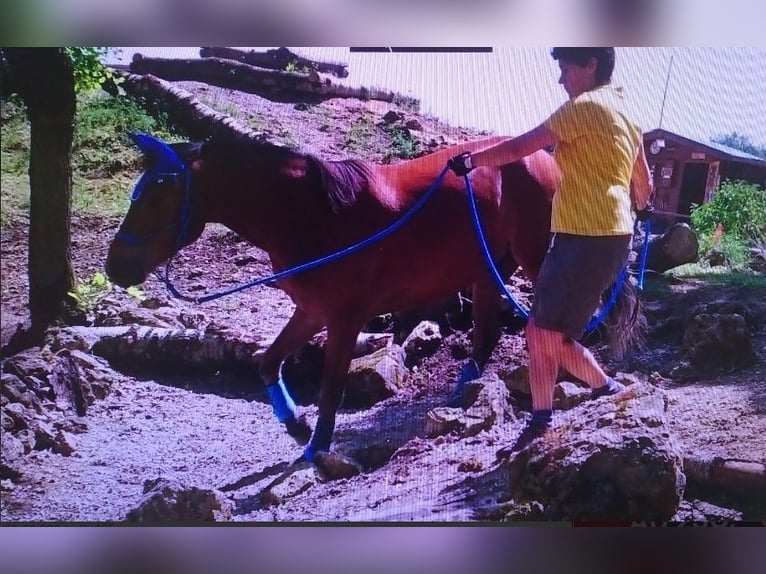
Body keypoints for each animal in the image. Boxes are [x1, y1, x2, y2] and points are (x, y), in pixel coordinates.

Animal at [105, 133, 592, 480]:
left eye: (158, 194)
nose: (115, 267)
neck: (313, 215)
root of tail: (542, 156)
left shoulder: (344, 320)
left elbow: (330, 387)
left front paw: (316, 447)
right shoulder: (312, 312)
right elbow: (268, 362)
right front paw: (296, 425)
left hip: (536, 256)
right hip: (490, 267)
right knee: (488, 333)